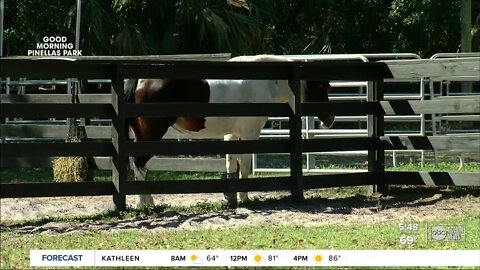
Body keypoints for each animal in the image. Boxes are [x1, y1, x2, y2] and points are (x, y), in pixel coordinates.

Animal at [124, 54, 334, 207]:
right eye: (322, 87)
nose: (330, 120)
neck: (263, 82)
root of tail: (140, 80)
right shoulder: (249, 133)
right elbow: (245, 163)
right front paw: (244, 197)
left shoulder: (232, 134)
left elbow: (231, 163)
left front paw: (231, 197)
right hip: (151, 135)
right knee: (139, 163)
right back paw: (145, 203)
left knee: (138, 165)